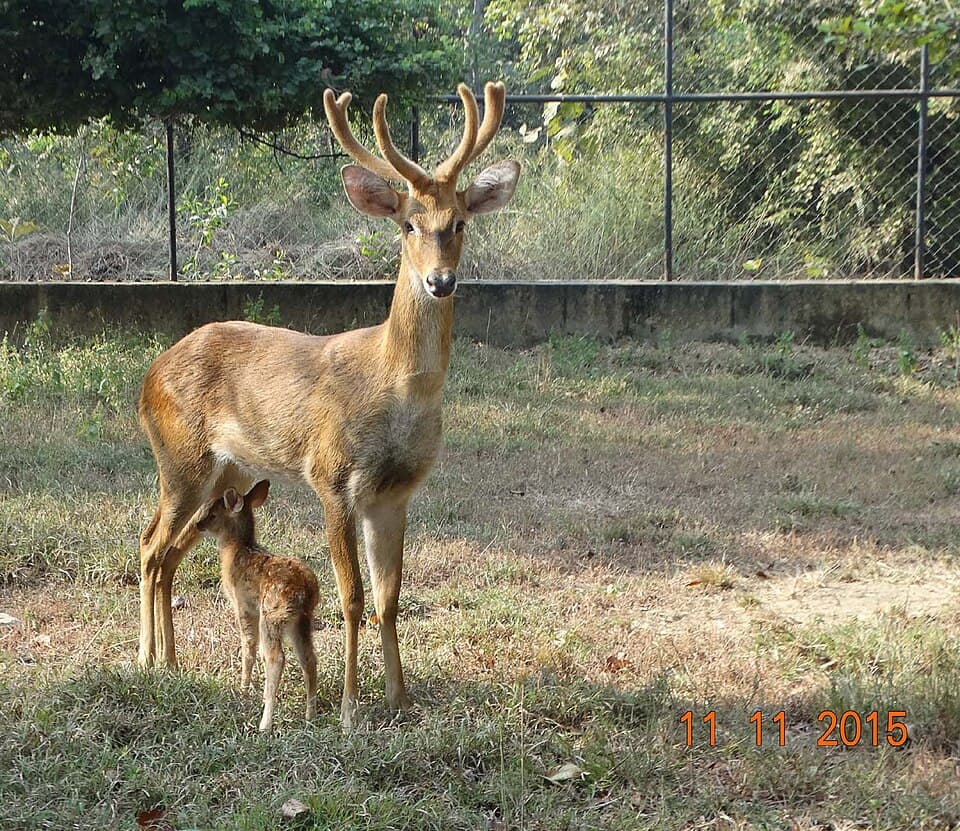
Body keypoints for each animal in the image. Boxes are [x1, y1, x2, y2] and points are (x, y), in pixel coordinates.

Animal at [195, 480, 318, 732]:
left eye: (212, 514)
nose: (196, 524)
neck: (236, 551)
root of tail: (306, 589)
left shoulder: (243, 604)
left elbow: (248, 646)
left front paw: (243, 689)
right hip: (302, 620)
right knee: (309, 658)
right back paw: (310, 716)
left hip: (272, 613)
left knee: (276, 658)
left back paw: (265, 723)